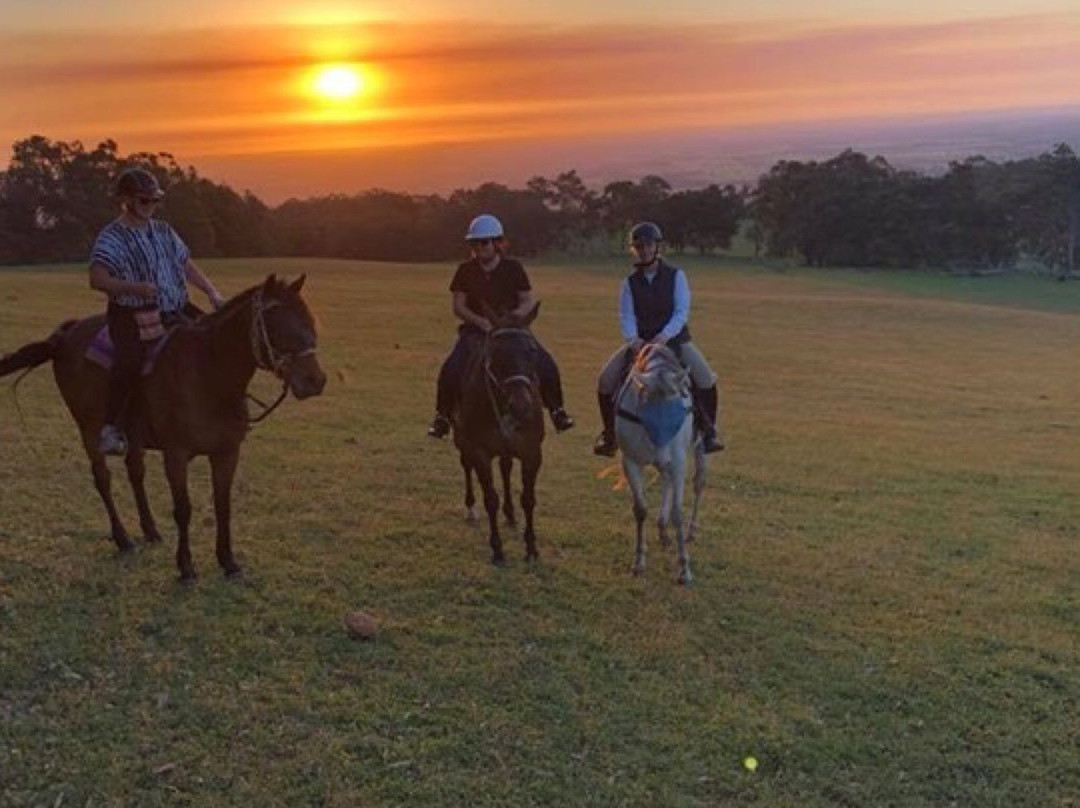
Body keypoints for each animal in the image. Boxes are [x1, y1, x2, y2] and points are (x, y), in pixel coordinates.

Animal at [0, 274, 324, 583]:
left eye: (309, 320)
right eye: (277, 325)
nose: (316, 381)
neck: (208, 376)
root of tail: (68, 333)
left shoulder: (227, 453)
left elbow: (223, 506)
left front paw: (228, 563)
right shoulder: (176, 455)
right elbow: (183, 509)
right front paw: (186, 569)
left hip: (133, 436)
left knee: (135, 473)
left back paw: (151, 531)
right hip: (88, 428)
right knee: (103, 480)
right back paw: (124, 539)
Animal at [451, 304, 544, 566]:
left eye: (532, 350)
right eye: (497, 352)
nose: (521, 405)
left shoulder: (532, 452)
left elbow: (528, 498)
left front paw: (531, 547)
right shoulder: (480, 451)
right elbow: (490, 499)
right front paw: (497, 549)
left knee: (505, 467)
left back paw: (510, 513)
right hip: (462, 439)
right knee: (466, 465)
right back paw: (471, 508)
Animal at [617, 341, 708, 578]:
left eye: (676, 416)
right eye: (646, 412)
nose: (661, 454)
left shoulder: (678, 462)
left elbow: (678, 512)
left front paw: (684, 568)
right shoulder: (630, 461)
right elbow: (640, 509)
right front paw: (638, 562)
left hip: (698, 450)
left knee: (698, 484)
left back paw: (690, 531)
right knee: (666, 482)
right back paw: (663, 529)